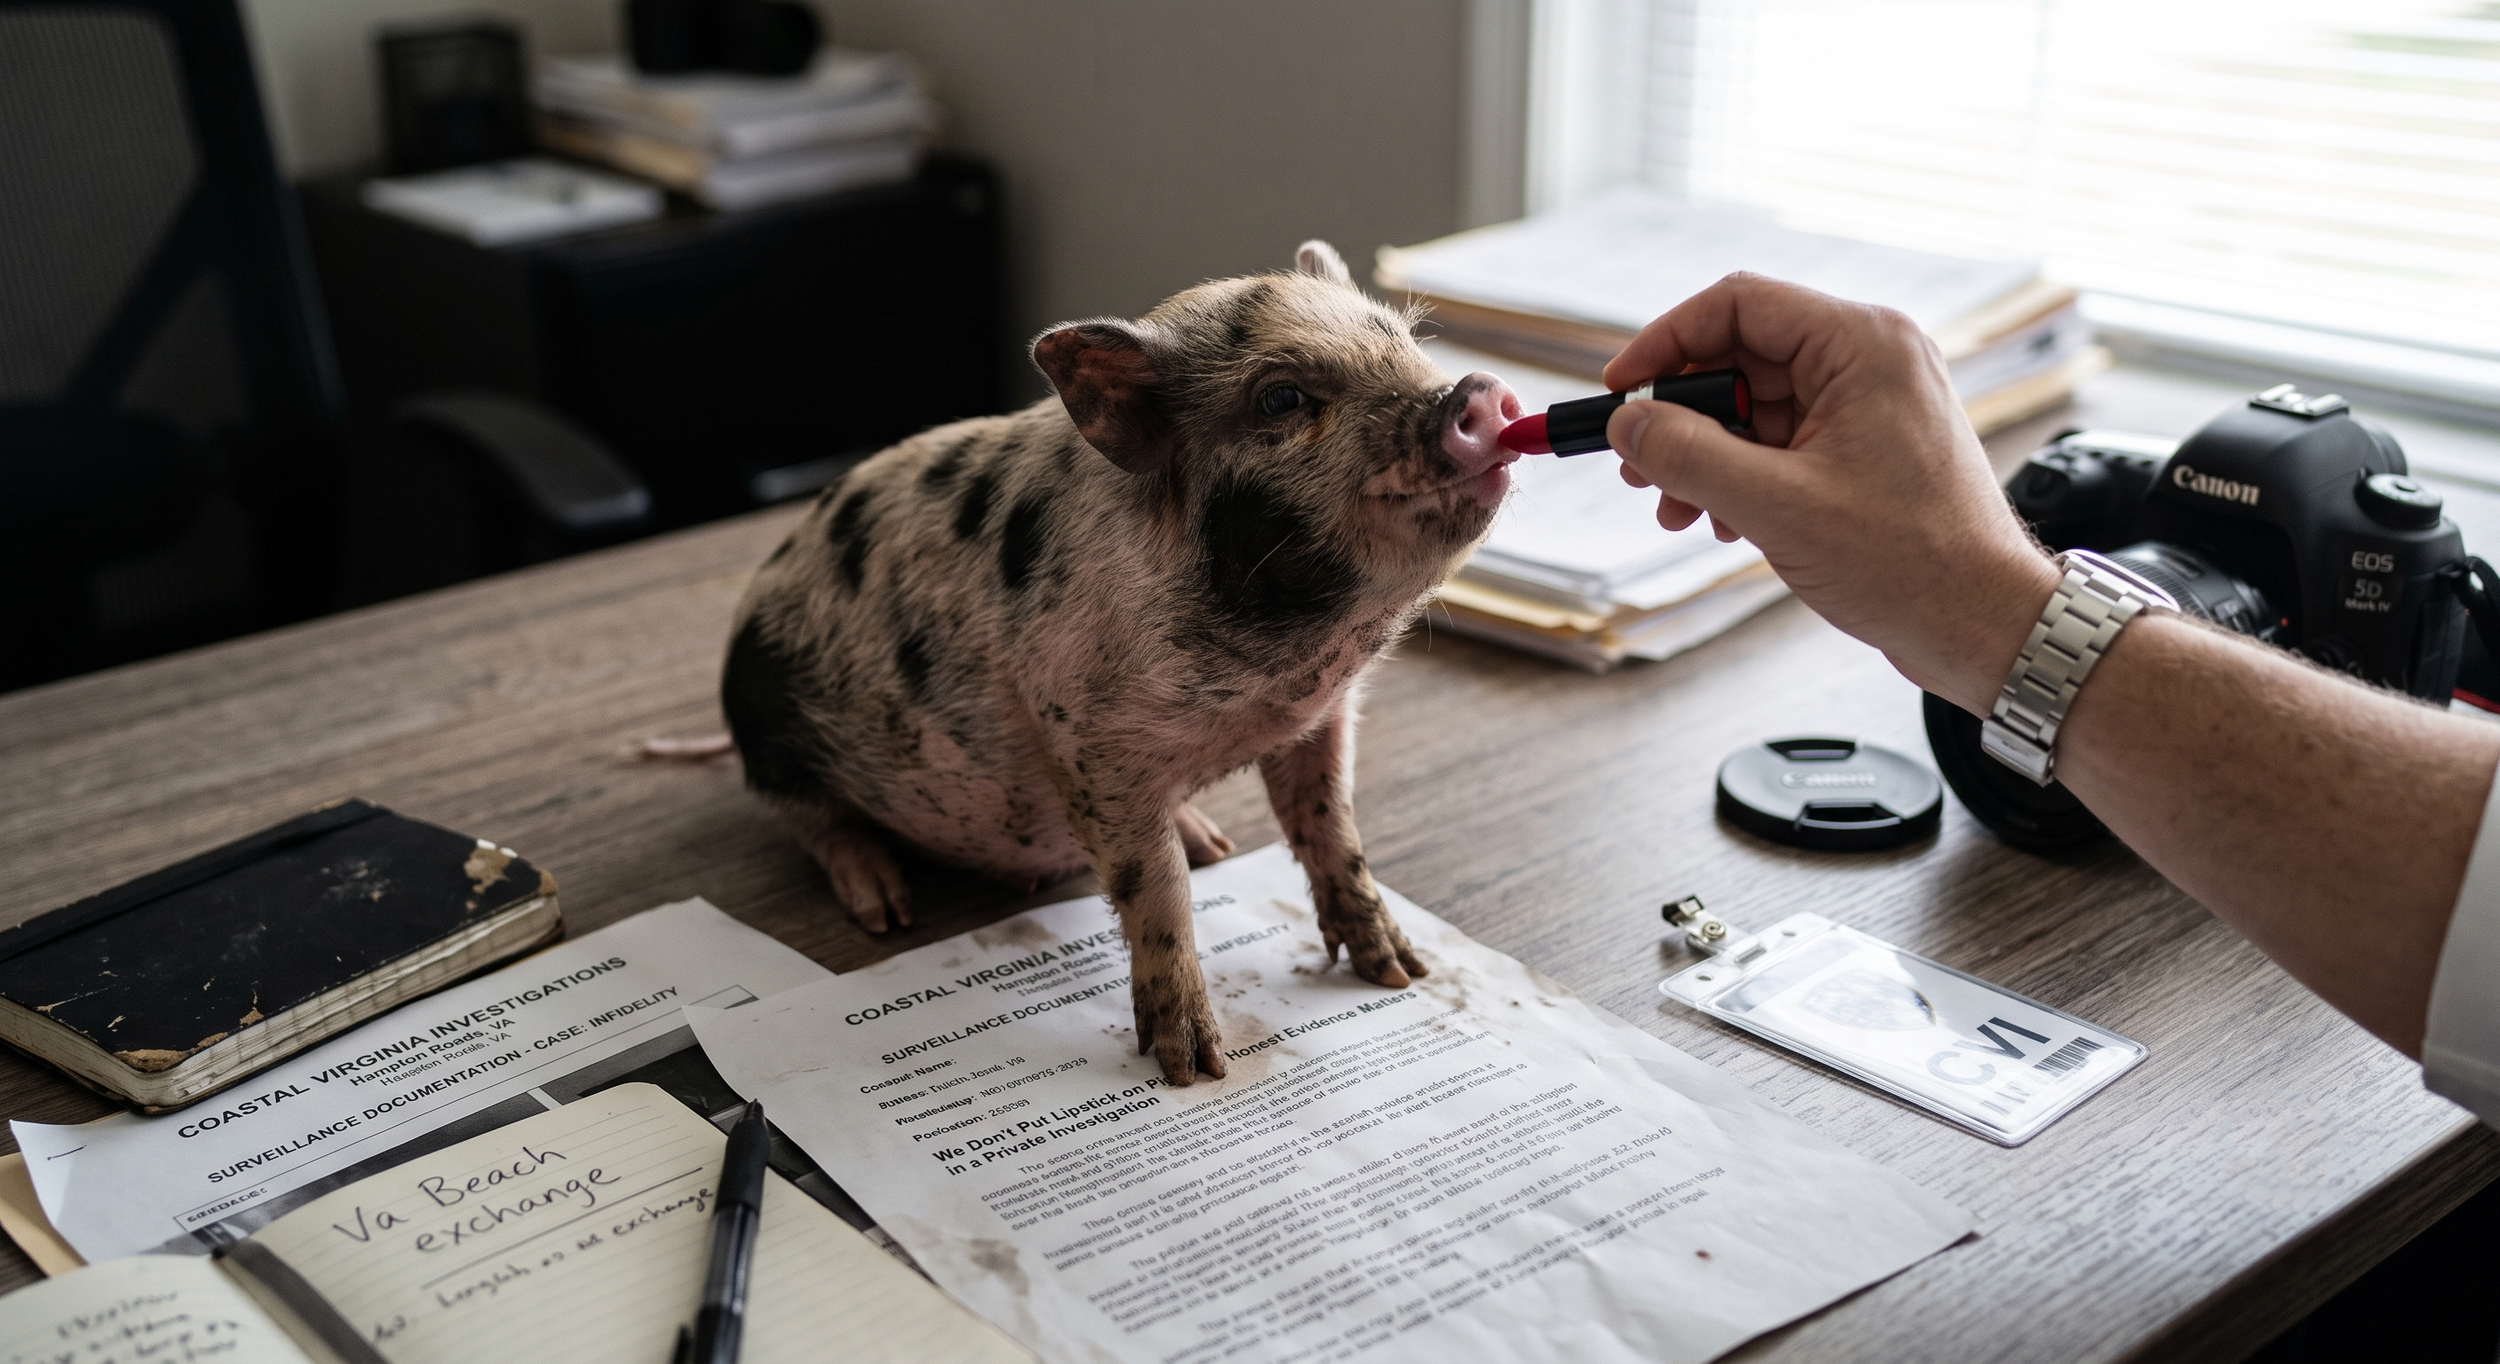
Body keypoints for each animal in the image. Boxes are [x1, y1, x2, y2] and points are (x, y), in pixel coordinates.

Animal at [718, 241, 1522, 1084]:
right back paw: (884, 907)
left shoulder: (1322, 718)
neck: (1266, 684)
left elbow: (1332, 826)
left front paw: (1401, 972)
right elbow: (1156, 885)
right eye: (1281, 398)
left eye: (1408, 341)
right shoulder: (1087, 740)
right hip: (768, 736)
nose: (1475, 390)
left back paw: (1212, 843)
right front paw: (1194, 1069)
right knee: (812, 819)